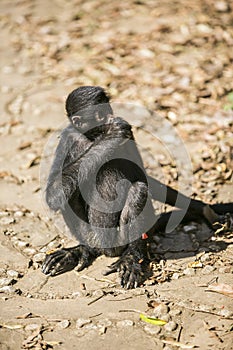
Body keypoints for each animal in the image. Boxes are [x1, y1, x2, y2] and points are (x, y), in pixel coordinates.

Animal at [42, 86, 233, 288]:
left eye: (108, 109)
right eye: (100, 114)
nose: (111, 117)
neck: (92, 137)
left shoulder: (128, 134)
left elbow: (142, 177)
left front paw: (204, 209)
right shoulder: (68, 137)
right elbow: (53, 194)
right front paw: (111, 135)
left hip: (120, 238)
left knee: (138, 189)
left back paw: (131, 256)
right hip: (91, 234)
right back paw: (85, 249)